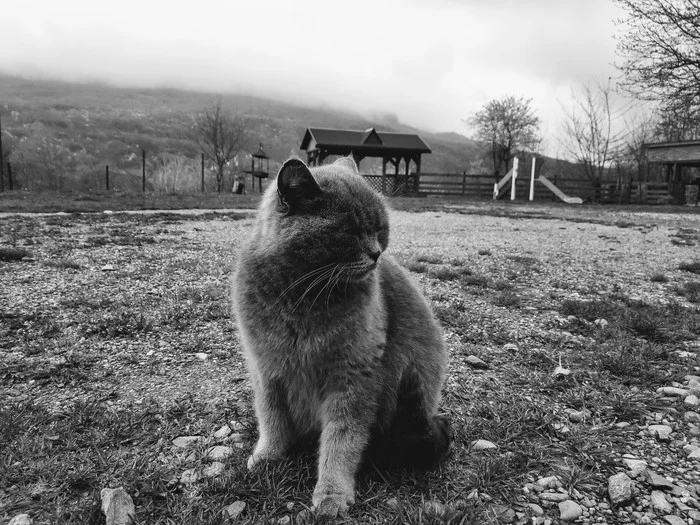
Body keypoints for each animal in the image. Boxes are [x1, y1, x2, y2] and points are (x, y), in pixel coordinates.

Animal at [232, 156, 452, 516]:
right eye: (351, 231)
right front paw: (267, 456)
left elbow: (342, 438)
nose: (376, 253)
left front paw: (332, 493)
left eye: (380, 229)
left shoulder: (353, 376)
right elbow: (271, 417)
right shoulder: (265, 369)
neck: (303, 297)